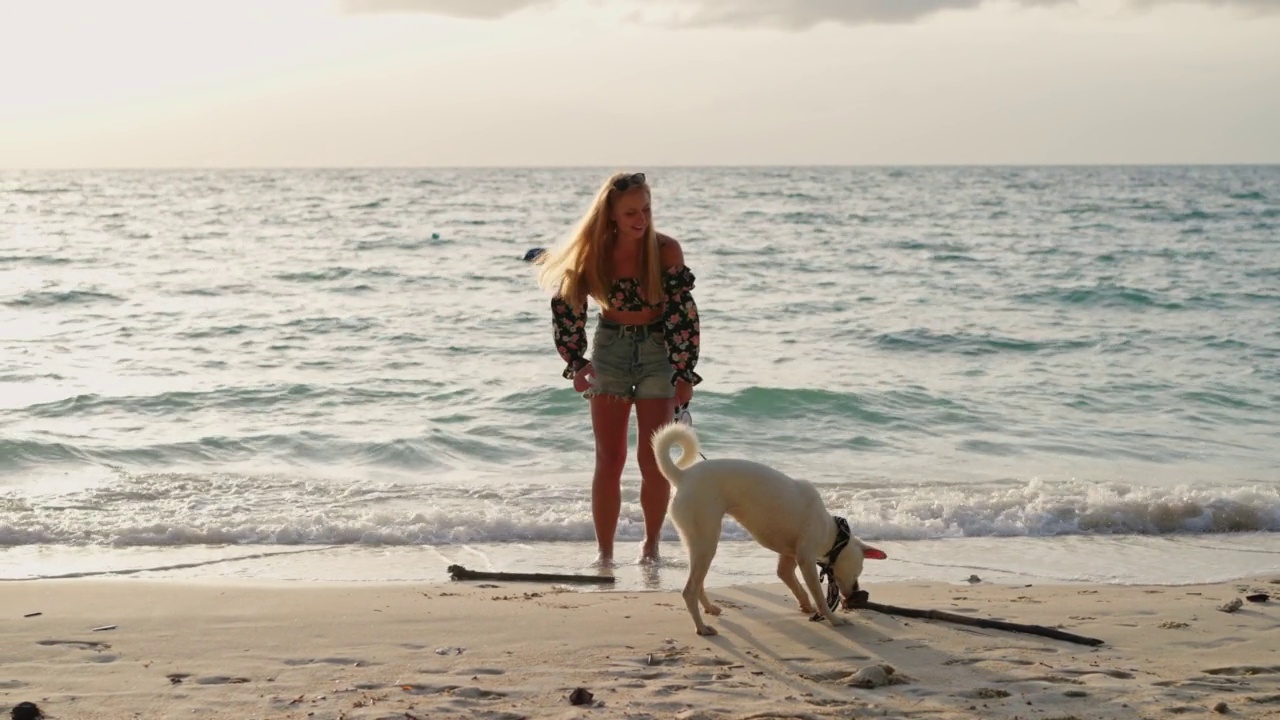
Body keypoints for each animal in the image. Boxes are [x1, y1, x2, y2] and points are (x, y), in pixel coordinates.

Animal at [655, 420, 885, 632]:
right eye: (859, 571)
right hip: (707, 543)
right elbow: (819, 596)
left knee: (698, 584)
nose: (855, 592)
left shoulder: (788, 561)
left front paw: (806, 606)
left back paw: (710, 609)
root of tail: (682, 476)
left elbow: (795, 585)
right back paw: (702, 627)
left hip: (697, 544)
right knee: (689, 590)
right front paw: (833, 618)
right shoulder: (806, 561)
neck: (831, 532)